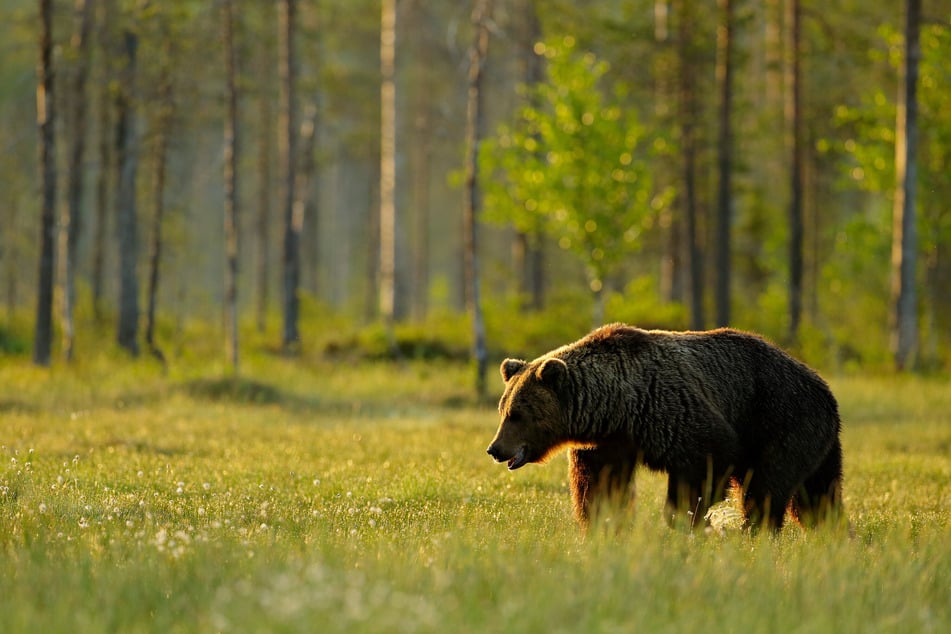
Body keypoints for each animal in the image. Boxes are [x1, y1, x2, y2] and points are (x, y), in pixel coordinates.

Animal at [488, 320, 844, 528]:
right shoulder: (608, 443)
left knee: (768, 489)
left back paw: (755, 531)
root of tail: (825, 389)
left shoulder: (672, 411)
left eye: (517, 414)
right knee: (818, 496)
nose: (495, 449)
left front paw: (681, 520)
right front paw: (603, 521)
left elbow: (704, 464)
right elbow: (600, 485)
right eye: (503, 409)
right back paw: (834, 534)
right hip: (816, 442)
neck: (617, 407)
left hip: (781, 420)